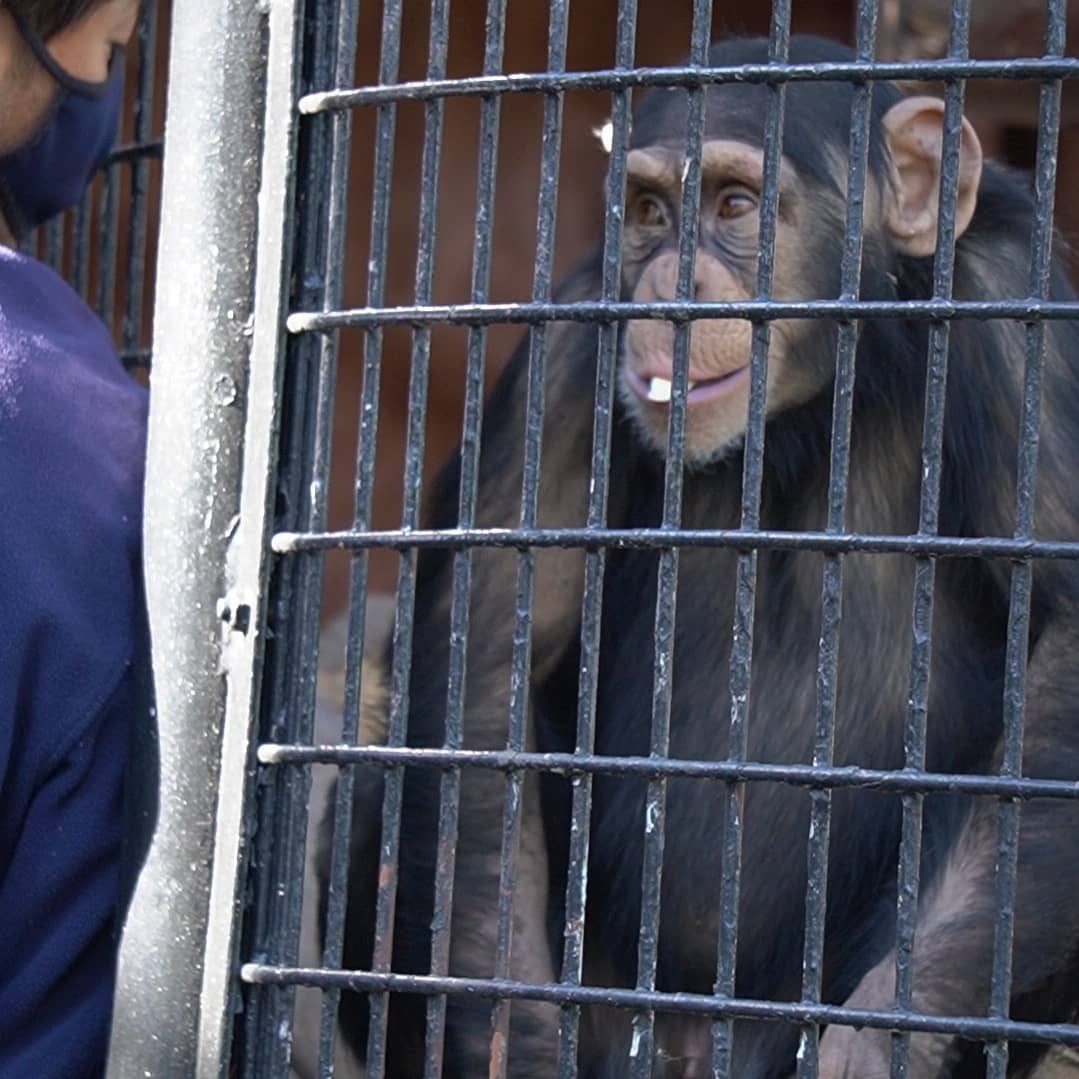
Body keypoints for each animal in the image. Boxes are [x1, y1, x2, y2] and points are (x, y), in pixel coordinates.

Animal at [328, 33, 1079, 1079]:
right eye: (649, 212)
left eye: (732, 204)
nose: (670, 287)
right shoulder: (571, 349)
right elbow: (482, 679)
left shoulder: (1016, 313)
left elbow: (1067, 641)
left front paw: (873, 1043)